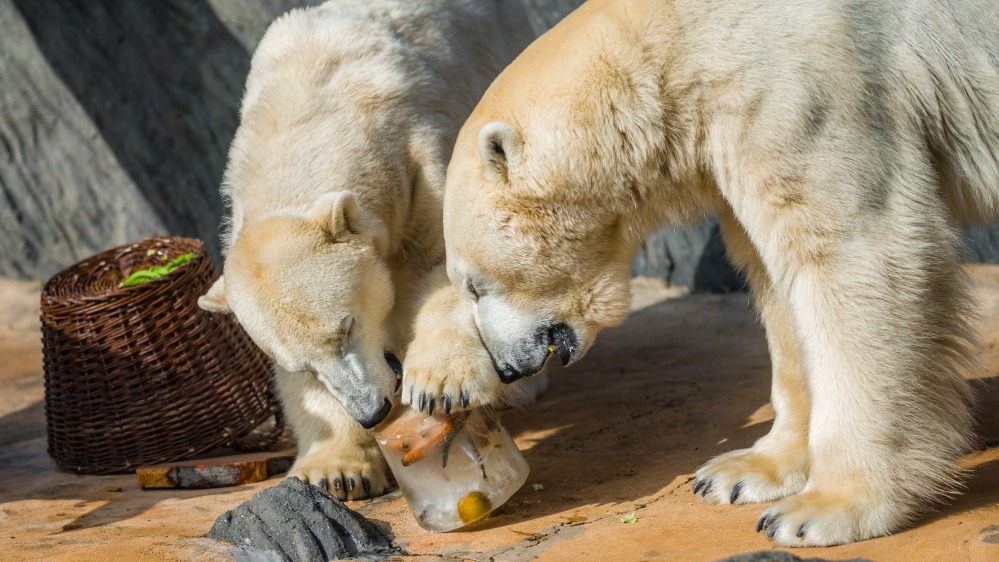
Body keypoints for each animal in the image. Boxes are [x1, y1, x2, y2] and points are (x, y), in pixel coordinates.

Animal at [197, 0, 548, 498]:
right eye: (304, 365)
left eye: (347, 327)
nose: (371, 411)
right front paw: (337, 471)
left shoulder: (417, 160)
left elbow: (438, 263)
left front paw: (440, 384)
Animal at [412, 0, 999, 548]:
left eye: (473, 283)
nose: (507, 368)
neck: (674, 42)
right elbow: (775, 276)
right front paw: (743, 472)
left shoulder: (808, 89)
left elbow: (854, 252)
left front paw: (820, 509)